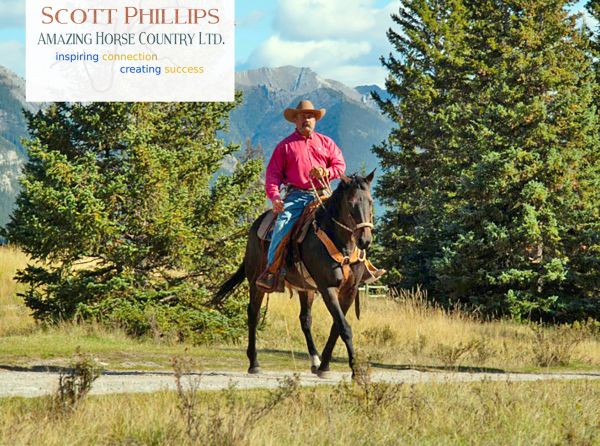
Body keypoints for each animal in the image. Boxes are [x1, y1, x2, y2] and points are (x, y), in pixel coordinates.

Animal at [212, 171, 376, 376]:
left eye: (370, 201)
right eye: (351, 202)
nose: (365, 240)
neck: (341, 243)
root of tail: (256, 223)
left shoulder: (349, 291)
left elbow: (336, 327)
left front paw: (324, 366)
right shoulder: (327, 287)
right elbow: (344, 327)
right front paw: (356, 371)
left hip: (306, 288)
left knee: (305, 319)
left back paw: (314, 360)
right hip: (256, 282)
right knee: (253, 315)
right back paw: (254, 363)